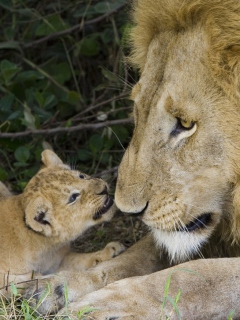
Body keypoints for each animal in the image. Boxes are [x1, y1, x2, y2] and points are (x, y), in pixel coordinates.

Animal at [24, 1, 240, 318]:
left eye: (186, 124)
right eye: (137, 111)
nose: (129, 211)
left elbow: (201, 275)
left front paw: (108, 304)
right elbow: (137, 254)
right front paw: (55, 286)